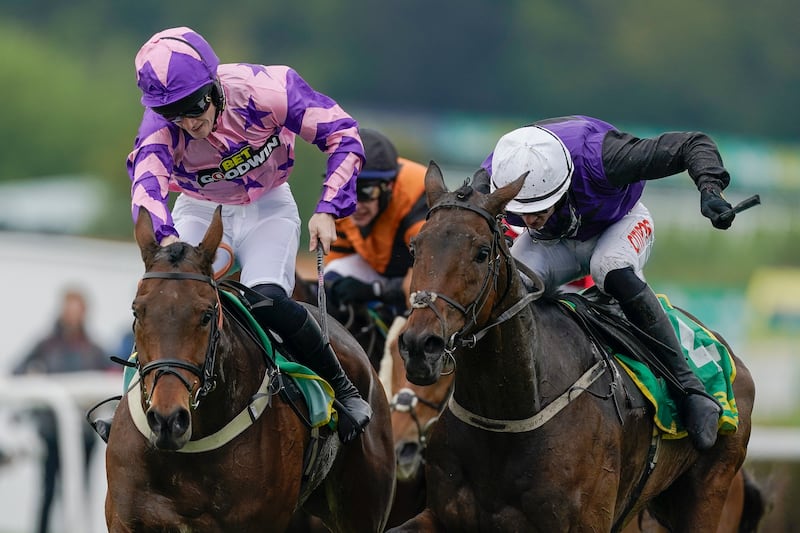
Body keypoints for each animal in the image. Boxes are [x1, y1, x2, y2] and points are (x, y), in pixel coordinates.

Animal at [390, 162, 752, 532]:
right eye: (415, 248)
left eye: (481, 253)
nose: (421, 345)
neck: (507, 415)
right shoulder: (441, 514)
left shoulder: (585, 522)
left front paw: (714, 200)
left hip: (707, 492)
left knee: (617, 273)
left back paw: (702, 407)